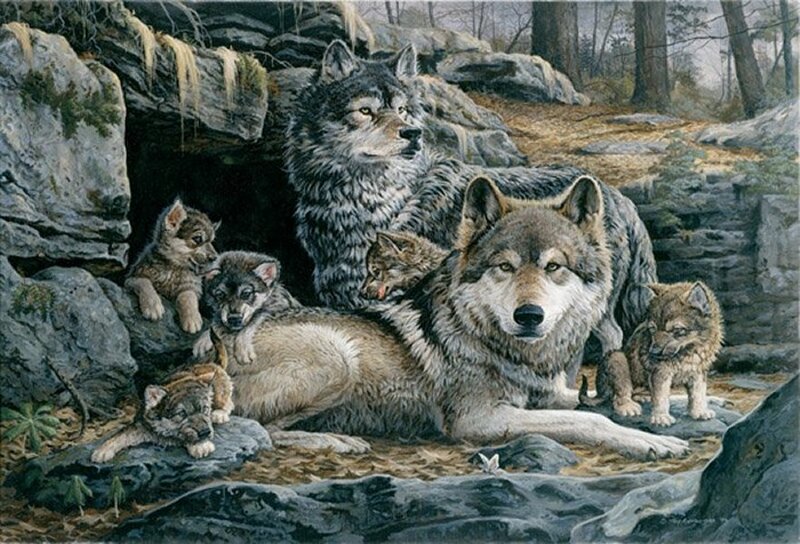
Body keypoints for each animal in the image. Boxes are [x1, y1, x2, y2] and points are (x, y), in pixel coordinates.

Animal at [92, 330, 233, 462]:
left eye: (205, 409)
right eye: (182, 414)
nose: (205, 432)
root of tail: (213, 363)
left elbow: (182, 436)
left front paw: (200, 445)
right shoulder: (140, 425)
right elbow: (120, 435)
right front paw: (102, 450)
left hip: (219, 389)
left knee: (229, 402)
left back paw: (219, 414)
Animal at [126, 199, 219, 334]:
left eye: (212, 241)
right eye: (197, 239)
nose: (215, 257)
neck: (174, 267)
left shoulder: (193, 287)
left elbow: (188, 295)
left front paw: (192, 317)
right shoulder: (132, 278)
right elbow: (144, 282)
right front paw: (152, 305)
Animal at [227, 177, 688, 459]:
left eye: (554, 267)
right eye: (505, 267)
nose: (529, 315)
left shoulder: (550, 393)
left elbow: (598, 400)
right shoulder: (480, 420)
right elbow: (587, 417)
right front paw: (650, 442)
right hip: (337, 357)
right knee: (257, 427)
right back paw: (337, 440)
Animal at [581, 282, 724, 426]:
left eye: (676, 330)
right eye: (652, 329)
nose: (652, 352)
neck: (688, 350)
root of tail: (600, 393)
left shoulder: (697, 372)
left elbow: (698, 393)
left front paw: (699, 412)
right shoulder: (660, 372)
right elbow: (661, 397)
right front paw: (661, 417)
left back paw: (642, 397)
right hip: (616, 358)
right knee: (619, 395)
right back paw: (627, 406)